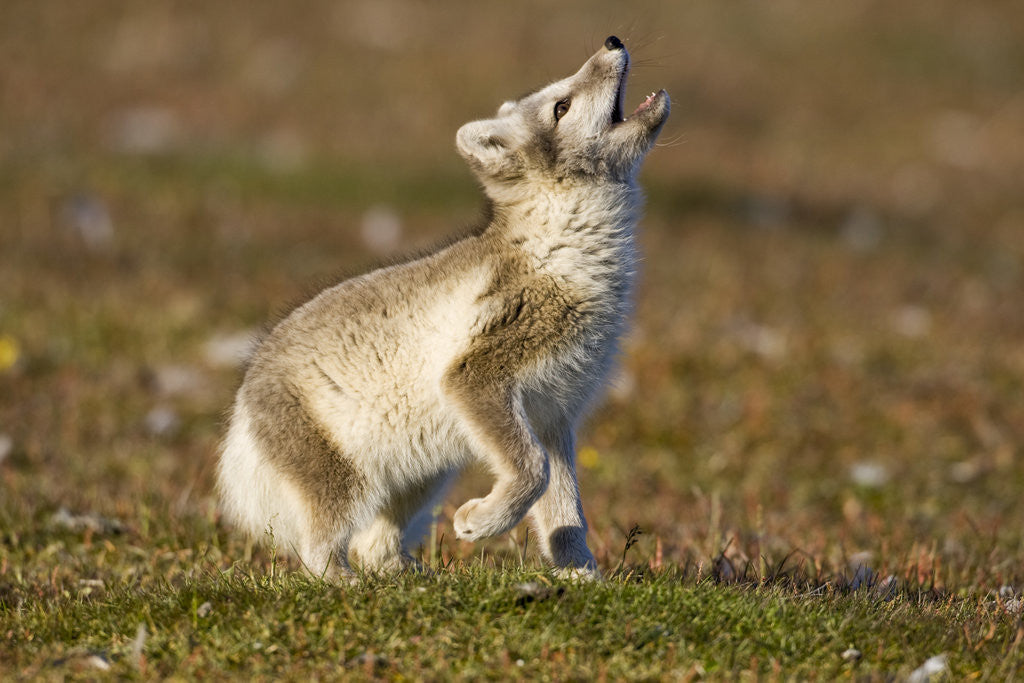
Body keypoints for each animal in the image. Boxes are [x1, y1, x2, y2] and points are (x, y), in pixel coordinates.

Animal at [217, 35, 670, 579]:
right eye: (561, 106)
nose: (613, 41)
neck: (560, 248)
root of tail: (241, 406)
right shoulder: (476, 375)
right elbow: (534, 472)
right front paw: (480, 523)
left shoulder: (554, 413)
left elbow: (565, 507)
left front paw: (580, 574)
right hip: (345, 481)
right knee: (318, 548)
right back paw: (343, 582)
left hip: (422, 473)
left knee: (374, 546)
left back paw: (408, 577)